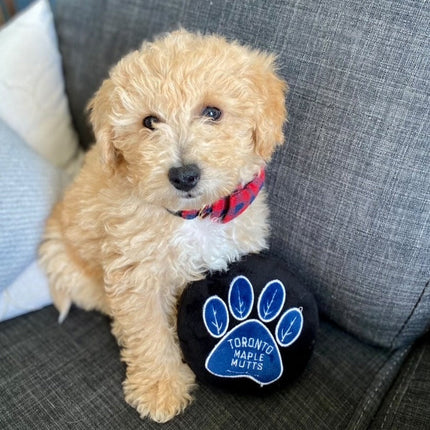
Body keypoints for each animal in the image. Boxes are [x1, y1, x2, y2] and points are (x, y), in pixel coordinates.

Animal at [38, 31, 288, 424]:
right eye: (149, 122)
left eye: (213, 112)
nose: (183, 175)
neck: (195, 215)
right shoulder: (137, 275)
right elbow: (149, 332)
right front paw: (160, 388)